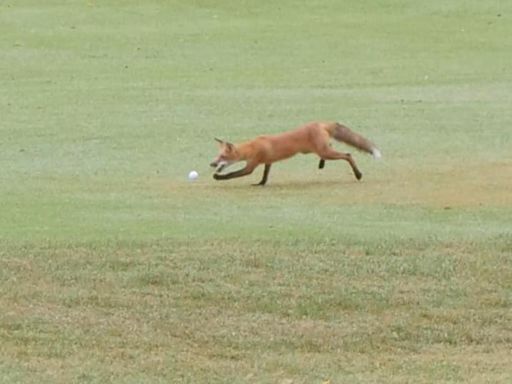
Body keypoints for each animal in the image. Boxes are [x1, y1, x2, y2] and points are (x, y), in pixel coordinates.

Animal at [208, 121, 380, 185]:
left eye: (222, 156)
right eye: (217, 155)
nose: (212, 163)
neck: (251, 146)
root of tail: (321, 123)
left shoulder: (251, 165)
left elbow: (233, 174)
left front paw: (218, 177)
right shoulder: (268, 162)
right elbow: (265, 175)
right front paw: (261, 184)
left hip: (325, 152)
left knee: (348, 155)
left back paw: (358, 174)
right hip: (322, 150)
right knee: (330, 152)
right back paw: (321, 164)